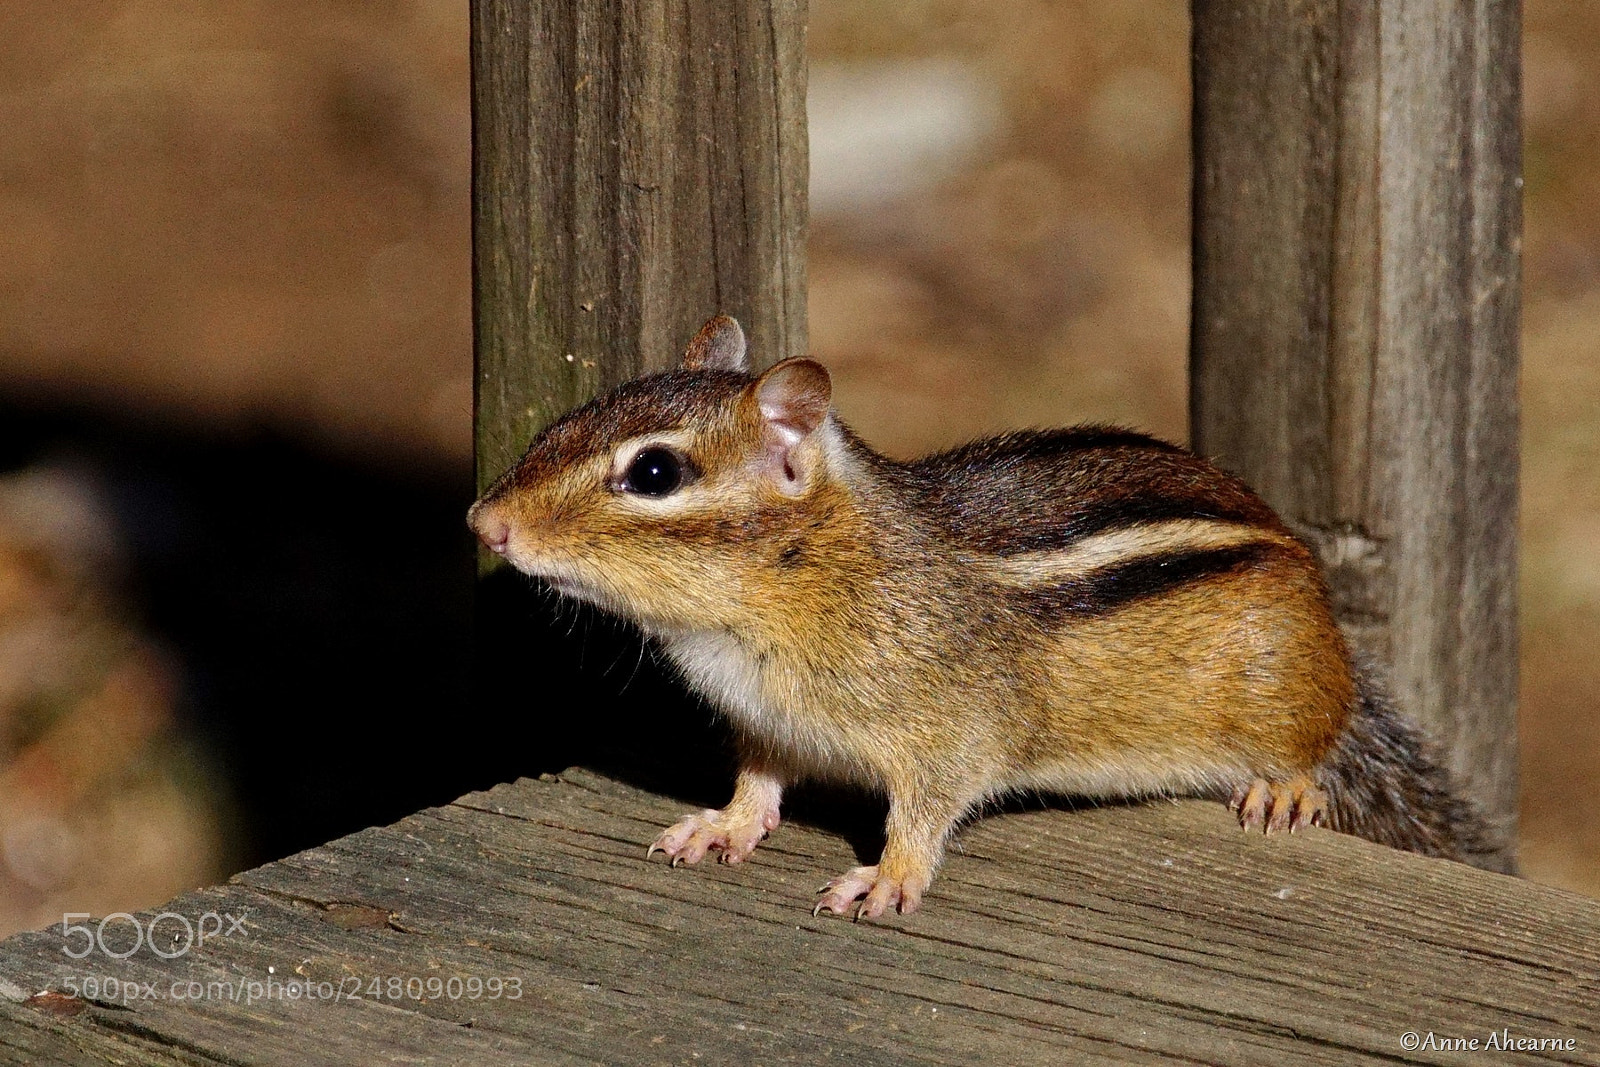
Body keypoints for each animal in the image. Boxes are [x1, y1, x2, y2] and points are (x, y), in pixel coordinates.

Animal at [468, 315, 1495, 920]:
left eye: (653, 472)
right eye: (578, 410)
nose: (484, 522)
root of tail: (1322, 610)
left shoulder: (949, 730)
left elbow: (926, 811)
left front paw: (888, 877)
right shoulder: (768, 724)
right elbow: (759, 782)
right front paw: (721, 825)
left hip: (1288, 686)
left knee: (1316, 742)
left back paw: (1286, 787)